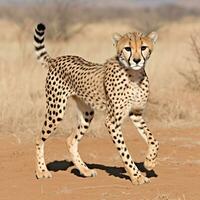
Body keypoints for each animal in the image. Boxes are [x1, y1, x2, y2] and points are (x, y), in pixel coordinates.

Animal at [34, 23, 159, 184]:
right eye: (127, 48)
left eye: (143, 47)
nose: (137, 60)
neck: (134, 75)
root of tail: (57, 59)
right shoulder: (112, 122)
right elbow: (125, 152)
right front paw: (136, 176)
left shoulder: (136, 114)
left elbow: (153, 139)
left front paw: (149, 162)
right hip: (56, 109)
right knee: (39, 139)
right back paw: (42, 171)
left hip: (87, 113)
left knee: (71, 140)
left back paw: (85, 170)